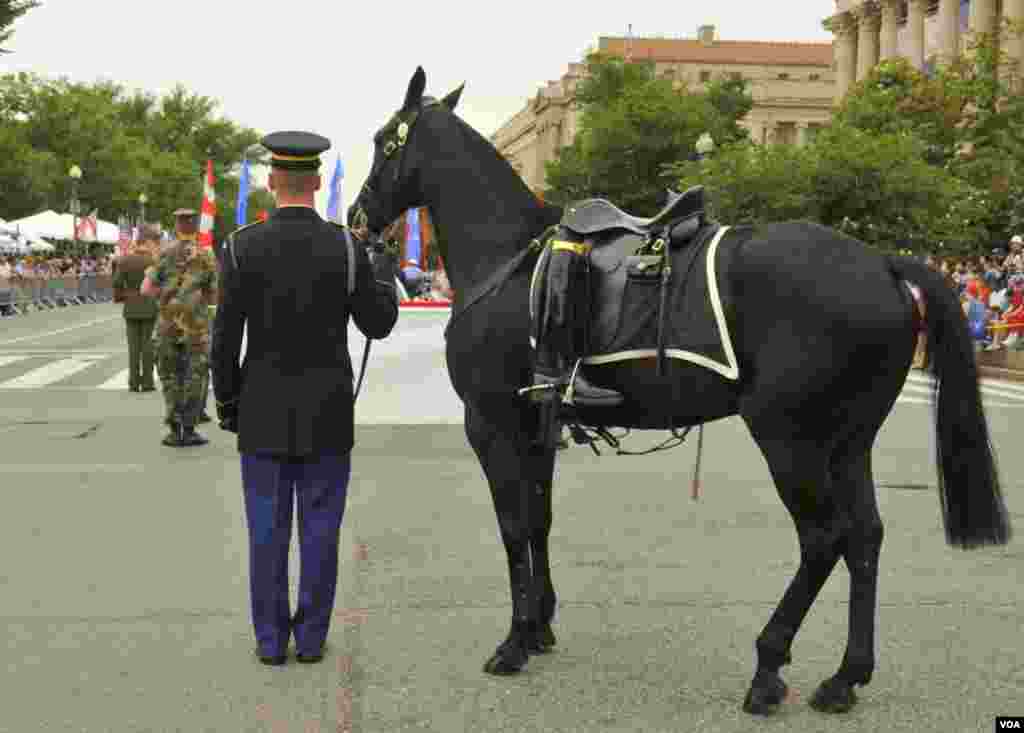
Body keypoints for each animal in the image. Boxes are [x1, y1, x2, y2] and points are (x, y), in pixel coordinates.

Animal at [348, 68, 1011, 716]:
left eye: (384, 141)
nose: (356, 216)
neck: (506, 259)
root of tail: (882, 263)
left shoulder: (492, 425)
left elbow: (513, 527)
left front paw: (513, 642)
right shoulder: (537, 428)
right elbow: (539, 521)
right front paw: (539, 624)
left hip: (789, 437)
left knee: (824, 539)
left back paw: (768, 668)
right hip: (849, 441)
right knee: (865, 538)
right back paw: (846, 677)